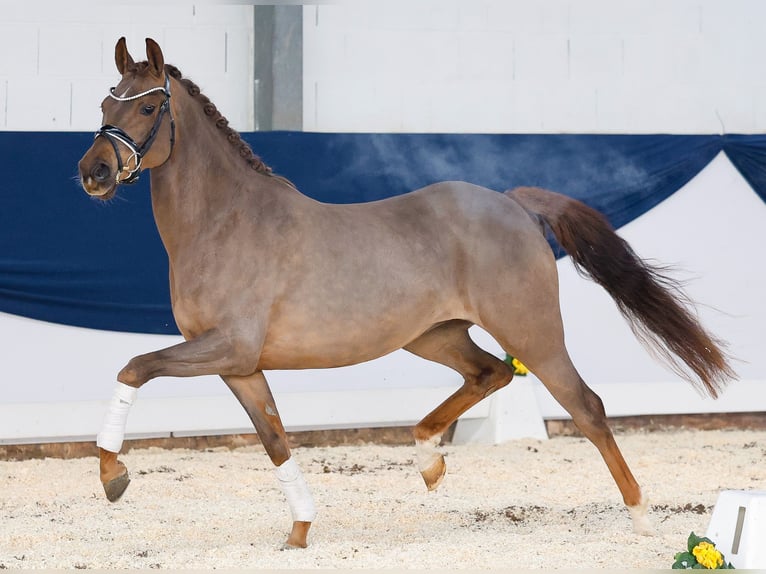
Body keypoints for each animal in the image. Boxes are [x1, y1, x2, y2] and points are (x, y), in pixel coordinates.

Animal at [78, 38, 736, 552]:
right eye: (107, 102)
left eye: (150, 104)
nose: (95, 173)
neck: (225, 221)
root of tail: (514, 203)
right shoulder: (240, 365)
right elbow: (275, 440)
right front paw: (299, 531)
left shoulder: (228, 347)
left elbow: (134, 367)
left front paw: (114, 474)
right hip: (433, 336)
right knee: (490, 374)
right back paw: (428, 460)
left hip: (533, 333)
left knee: (586, 406)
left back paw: (642, 519)